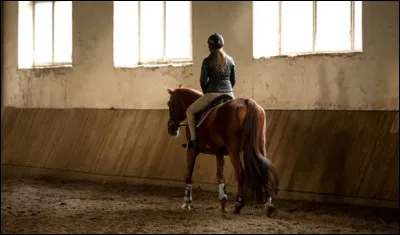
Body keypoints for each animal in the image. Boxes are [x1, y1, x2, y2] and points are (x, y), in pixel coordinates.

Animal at [164, 85, 280, 217]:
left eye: (169, 103)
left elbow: (189, 174)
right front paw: (223, 201)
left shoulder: (192, 150)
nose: (171, 128)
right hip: (259, 145)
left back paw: (239, 204)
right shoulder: (218, 153)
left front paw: (187, 202)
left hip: (233, 150)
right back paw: (268, 204)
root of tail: (247, 102)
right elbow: (220, 175)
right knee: (263, 168)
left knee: (240, 172)